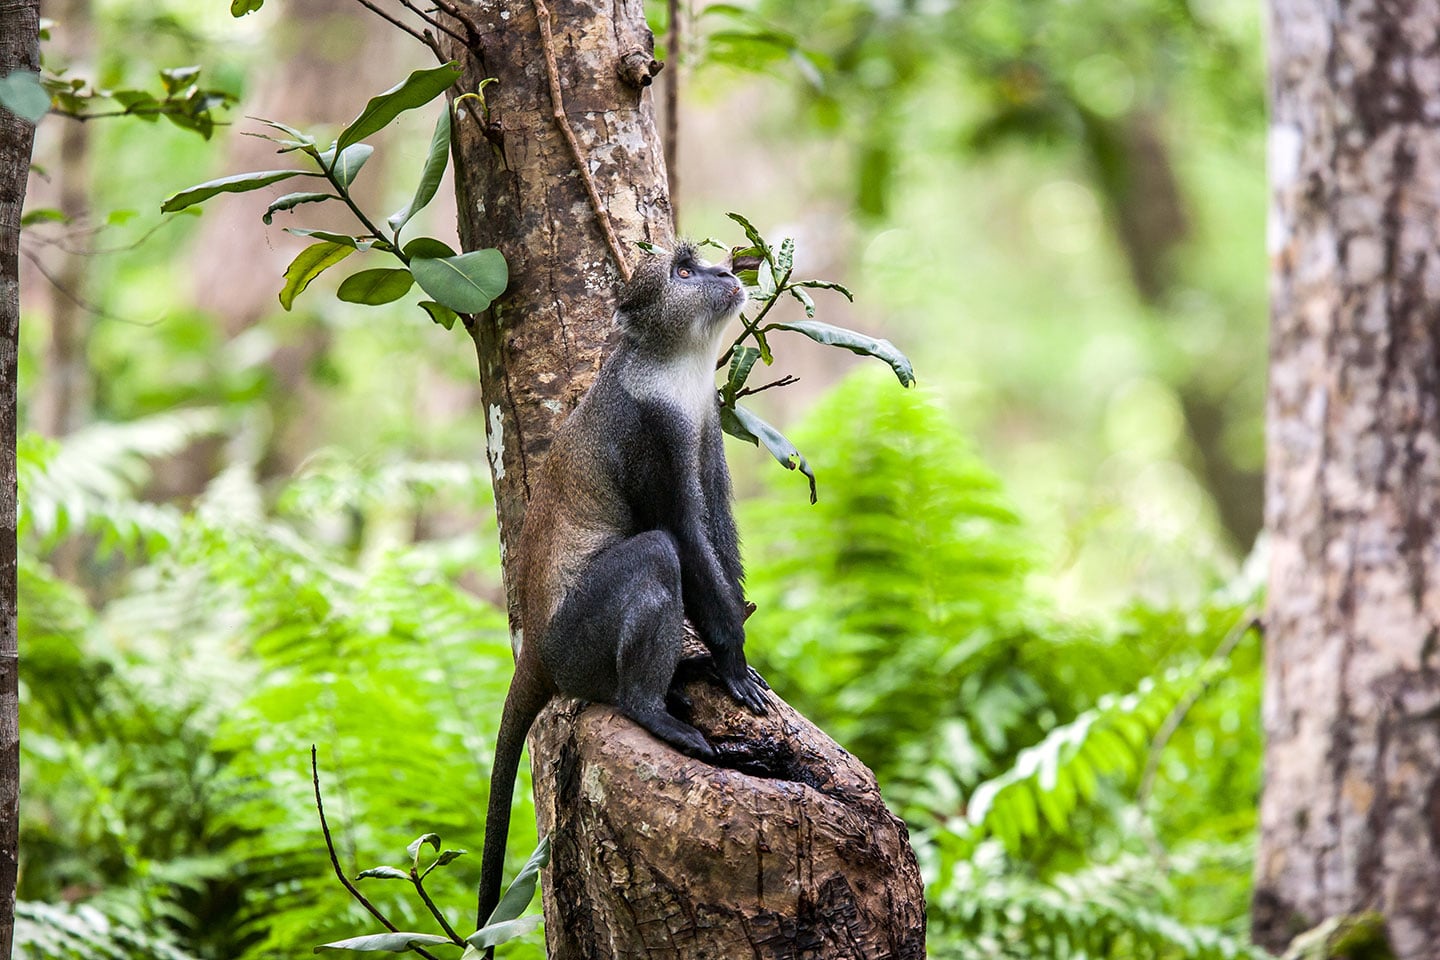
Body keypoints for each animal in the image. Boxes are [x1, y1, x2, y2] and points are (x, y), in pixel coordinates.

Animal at [475, 243, 771, 937]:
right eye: (685, 272)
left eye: (703, 263)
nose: (727, 273)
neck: (674, 368)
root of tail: (537, 650)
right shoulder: (652, 434)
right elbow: (682, 534)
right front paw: (733, 660)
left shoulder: (705, 423)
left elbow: (718, 527)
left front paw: (733, 656)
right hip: (580, 635)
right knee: (655, 556)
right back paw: (651, 707)